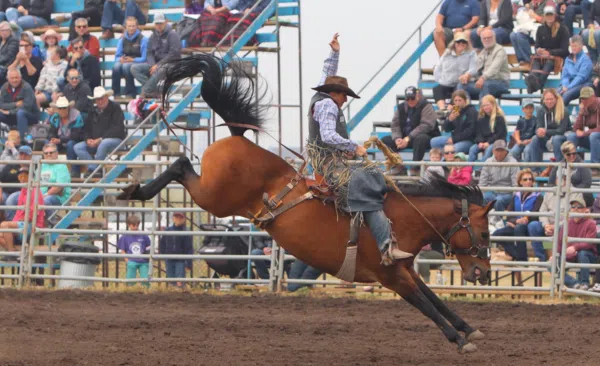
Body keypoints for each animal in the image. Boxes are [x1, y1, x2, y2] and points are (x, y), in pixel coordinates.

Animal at [117, 55, 492, 354]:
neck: (400, 219)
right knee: (181, 165)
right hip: (215, 197)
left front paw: (469, 329)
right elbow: (425, 304)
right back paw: (135, 191)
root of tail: (239, 138)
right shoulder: (391, 276)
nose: (483, 274)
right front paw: (460, 340)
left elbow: (434, 297)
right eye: (485, 233)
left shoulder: (405, 270)